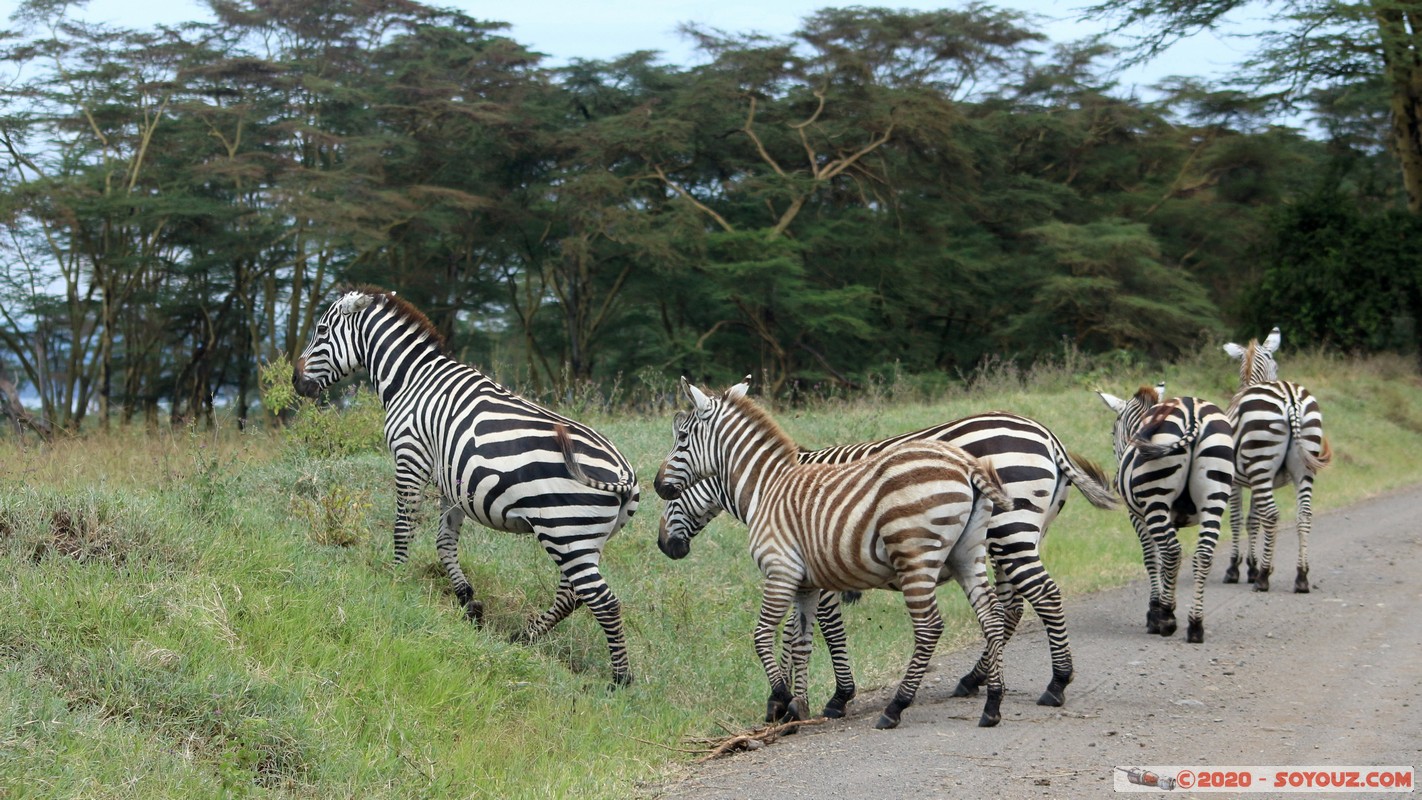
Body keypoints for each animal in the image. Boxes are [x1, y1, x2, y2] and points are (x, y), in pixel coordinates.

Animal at [294, 291, 639, 684]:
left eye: (321, 331)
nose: (295, 380)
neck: (411, 379)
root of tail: (626, 473)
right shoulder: (452, 482)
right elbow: (444, 543)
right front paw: (467, 600)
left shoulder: (411, 456)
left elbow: (403, 526)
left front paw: (396, 579)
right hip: (582, 538)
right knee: (573, 596)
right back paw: (524, 637)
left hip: (565, 530)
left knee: (603, 601)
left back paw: (620, 680)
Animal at [651, 377, 1018, 727]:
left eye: (681, 438)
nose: (657, 485)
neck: (766, 488)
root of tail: (967, 466)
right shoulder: (805, 583)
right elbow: (799, 640)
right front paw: (796, 705)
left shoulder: (781, 571)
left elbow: (766, 635)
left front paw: (787, 698)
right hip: (967, 554)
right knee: (993, 616)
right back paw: (992, 704)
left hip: (917, 557)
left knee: (930, 626)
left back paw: (896, 707)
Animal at [656, 409, 1120, 710]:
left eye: (673, 497)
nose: (665, 546)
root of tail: (1046, 436)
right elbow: (794, 631)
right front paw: (785, 696)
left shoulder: (820, 569)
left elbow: (825, 631)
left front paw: (833, 697)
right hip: (1014, 535)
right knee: (1010, 606)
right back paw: (976, 679)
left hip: (1010, 528)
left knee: (1041, 597)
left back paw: (1055, 682)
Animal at [1097, 383, 1234, 642]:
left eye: (1112, 432)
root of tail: (1193, 412)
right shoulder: (1171, 517)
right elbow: (1162, 561)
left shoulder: (1139, 516)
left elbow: (1152, 558)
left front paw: (1154, 611)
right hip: (1215, 496)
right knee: (1203, 554)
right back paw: (1195, 625)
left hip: (1156, 496)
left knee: (1172, 552)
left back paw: (1167, 619)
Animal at [1222, 326, 1330, 593]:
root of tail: (1290, 397)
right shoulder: (1255, 480)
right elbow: (1253, 520)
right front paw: (1253, 566)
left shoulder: (1236, 481)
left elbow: (1238, 520)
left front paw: (1237, 569)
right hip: (1303, 466)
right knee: (1304, 515)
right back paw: (1301, 576)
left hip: (1261, 462)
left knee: (1272, 515)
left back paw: (1262, 580)